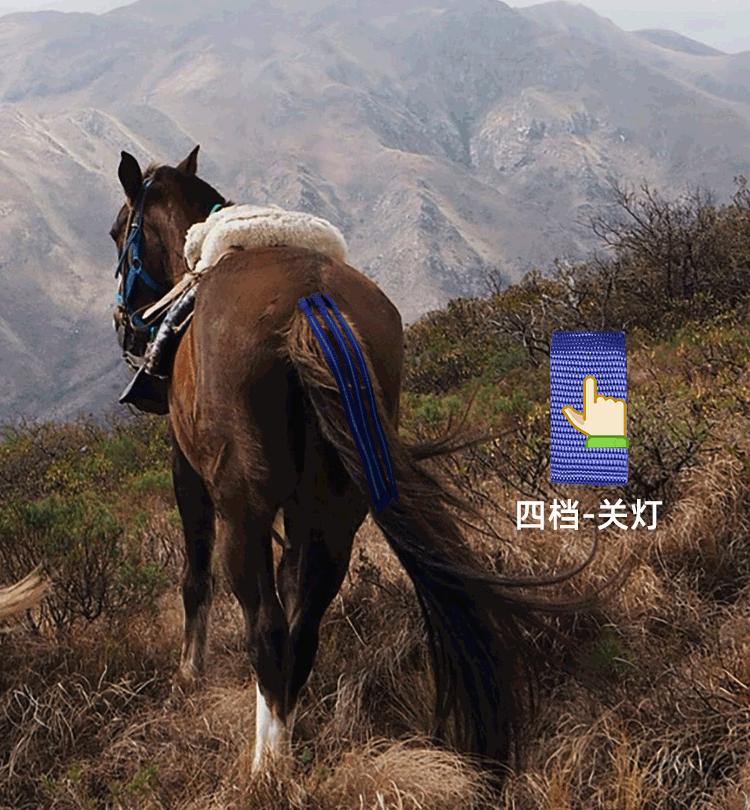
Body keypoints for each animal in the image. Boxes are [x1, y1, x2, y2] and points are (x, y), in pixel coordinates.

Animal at [109, 146, 588, 776]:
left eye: (117, 230)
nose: (125, 325)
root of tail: (308, 301)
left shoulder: (186, 467)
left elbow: (195, 571)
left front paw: (190, 671)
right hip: (337, 509)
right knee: (304, 625)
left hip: (246, 509)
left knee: (267, 629)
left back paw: (268, 766)